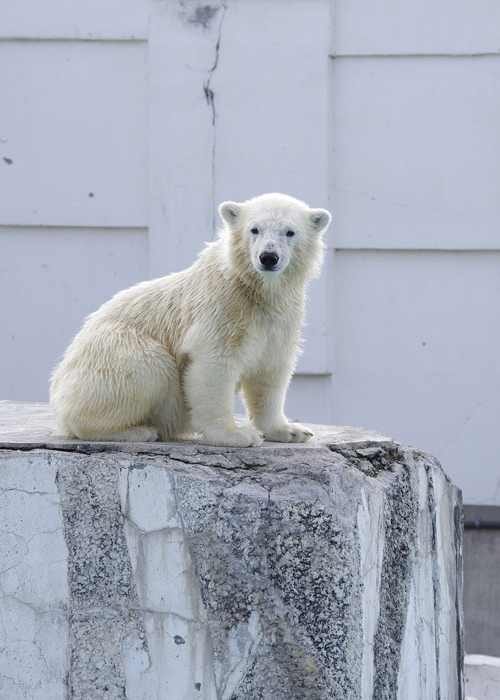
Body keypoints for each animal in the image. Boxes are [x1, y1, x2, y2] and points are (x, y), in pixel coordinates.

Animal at [49, 191, 332, 446]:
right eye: (254, 229)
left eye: (290, 232)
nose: (269, 257)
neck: (254, 291)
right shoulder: (222, 309)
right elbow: (214, 366)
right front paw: (237, 435)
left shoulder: (281, 320)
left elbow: (271, 371)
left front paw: (291, 430)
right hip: (108, 352)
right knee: (147, 364)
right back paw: (138, 431)